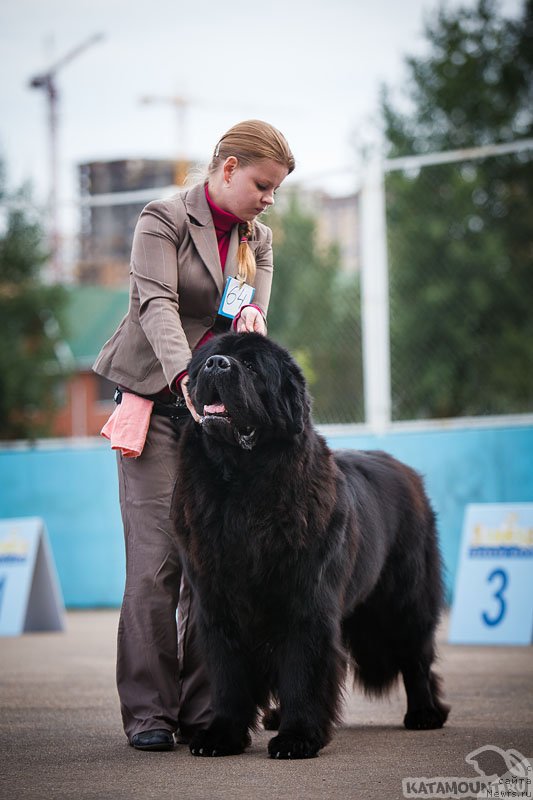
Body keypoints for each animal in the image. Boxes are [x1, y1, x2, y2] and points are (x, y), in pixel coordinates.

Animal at [172, 334, 446, 760]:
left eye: (250, 366)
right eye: (206, 362)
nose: (218, 364)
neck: (240, 490)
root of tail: (406, 471)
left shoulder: (306, 602)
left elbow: (303, 670)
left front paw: (298, 737)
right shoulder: (217, 604)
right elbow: (228, 678)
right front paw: (222, 735)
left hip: (406, 600)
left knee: (416, 656)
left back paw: (424, 713)